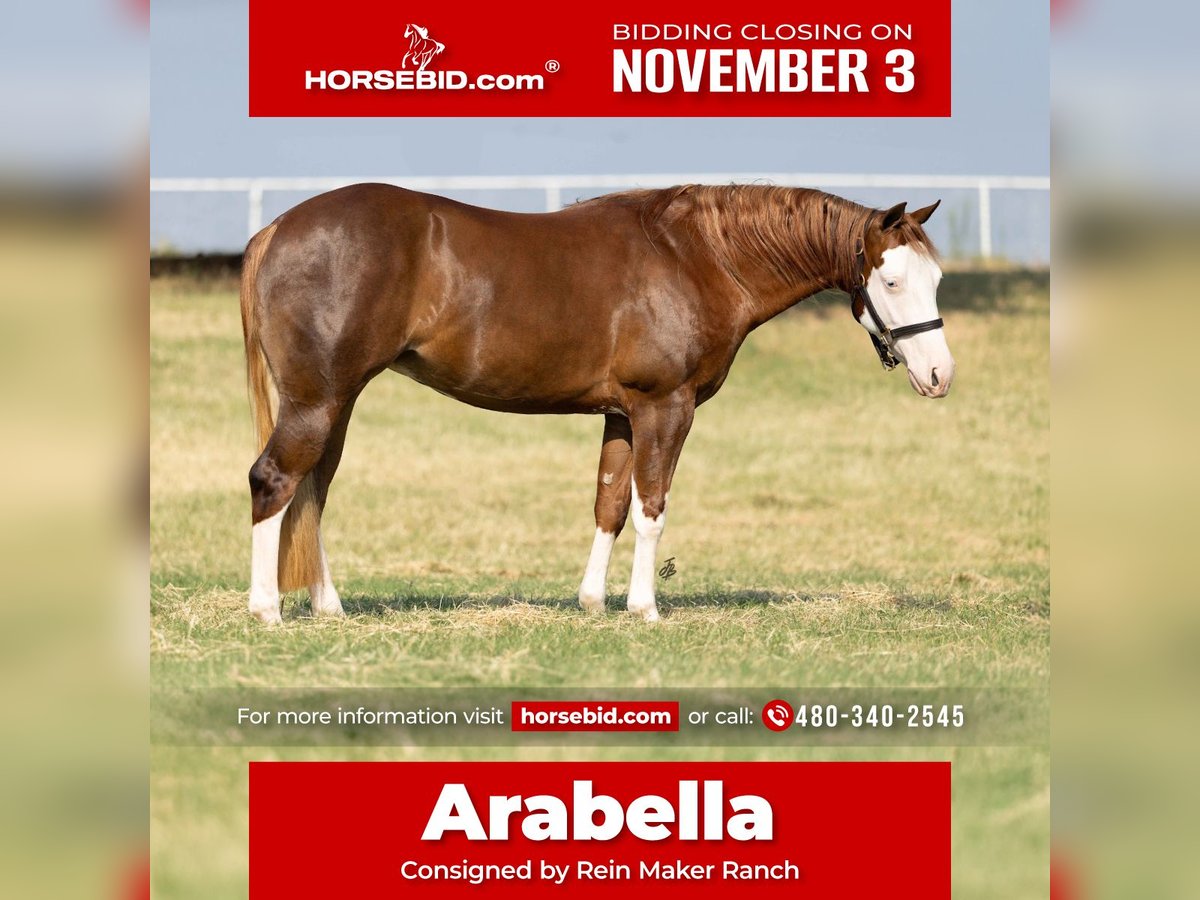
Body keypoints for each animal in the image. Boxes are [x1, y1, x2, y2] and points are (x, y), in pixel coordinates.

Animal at [239, 183, 954, 625]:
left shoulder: (621, 414)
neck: (699, 257)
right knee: (274, 480)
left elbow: (609, 504)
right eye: (892, 281)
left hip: (336, 402)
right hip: (318, 400)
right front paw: (644, 608)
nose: (940, 375)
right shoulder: (665, 407)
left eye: (937, 278)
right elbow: (651, 508)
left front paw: (591, 601)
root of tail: (277, 229)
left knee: (312, 492)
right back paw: (267, 609)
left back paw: (327, 606)